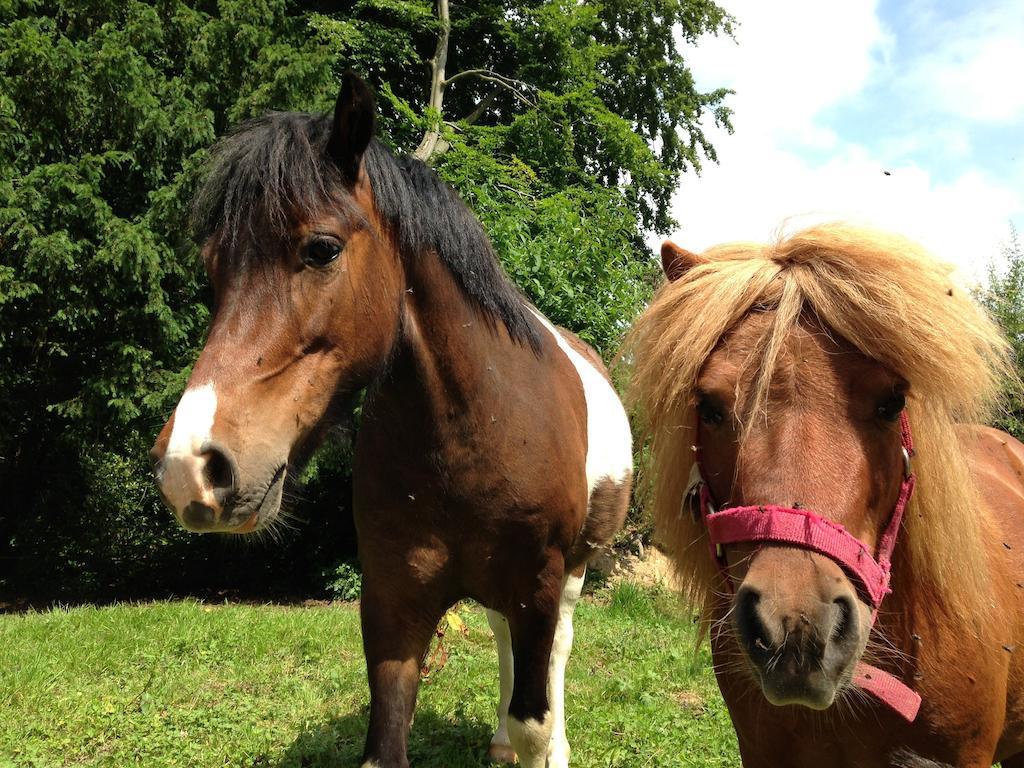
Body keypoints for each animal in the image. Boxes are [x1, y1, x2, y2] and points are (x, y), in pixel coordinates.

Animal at [149, 73, 630, 768]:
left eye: (322, 249)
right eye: (214, 268)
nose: (190, 467)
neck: (475, 434)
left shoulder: (538, 584)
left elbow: (536, 715)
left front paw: (543, 744)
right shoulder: (392, 599)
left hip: (570, 573)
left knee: (554, 653)